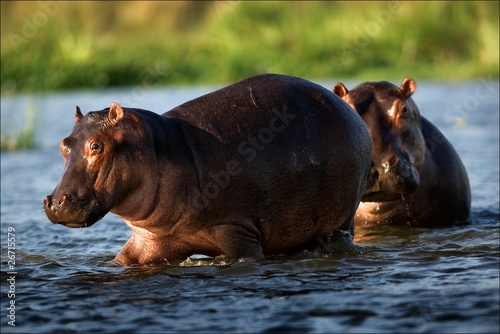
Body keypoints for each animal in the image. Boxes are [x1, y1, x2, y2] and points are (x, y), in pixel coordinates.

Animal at [43, 74, 372, 264]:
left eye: (97, 145)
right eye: (64, 144)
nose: (56, 202)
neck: (160, 148)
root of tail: (349, 110)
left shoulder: (237, 231)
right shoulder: (147, 242)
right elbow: (121, 261)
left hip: (341, 220)